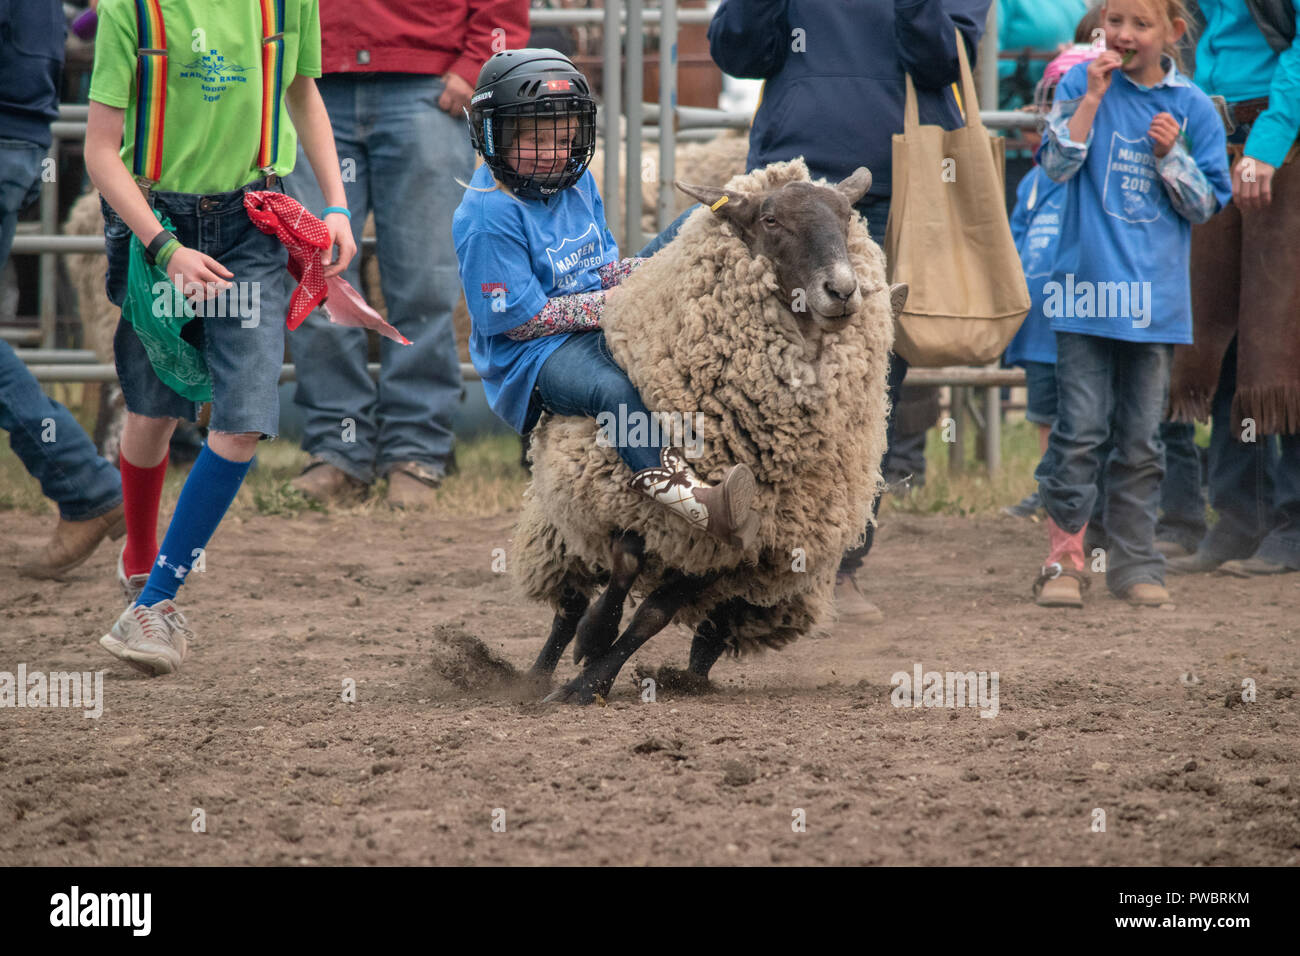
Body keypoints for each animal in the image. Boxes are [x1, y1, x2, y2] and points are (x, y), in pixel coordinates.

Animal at [510, 157, 896, 704]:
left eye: (846, 218)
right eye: (771, 220)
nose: (842, 291)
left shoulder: (738, 551)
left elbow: (653, 615)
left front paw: (589, 683)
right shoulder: (627, 507)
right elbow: (624, 564)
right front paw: (593, 638)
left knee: (707, 626)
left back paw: (688, 675)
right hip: (565, 523)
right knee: (568, 601)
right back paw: (536, 674)